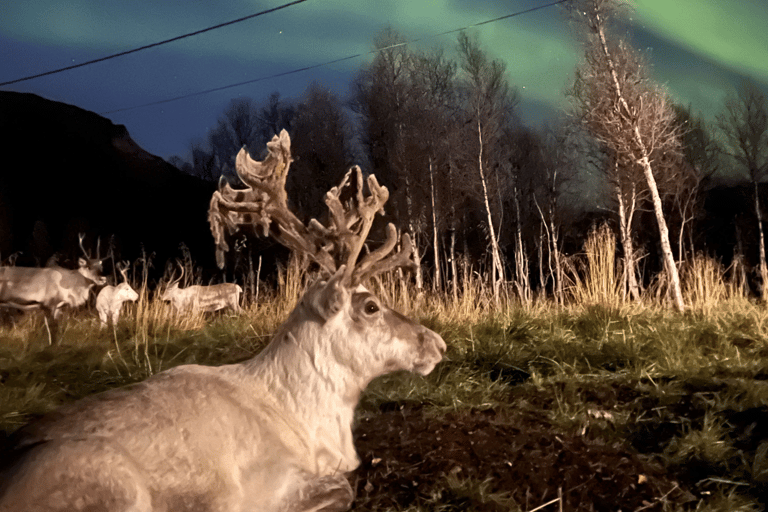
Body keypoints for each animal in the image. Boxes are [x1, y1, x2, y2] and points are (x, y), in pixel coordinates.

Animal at [0, 130, 446, 512]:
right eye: (370, 306)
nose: (437, 343)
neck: (310, 424)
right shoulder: (269, 484)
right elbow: (343, 488)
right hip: (113, 480)